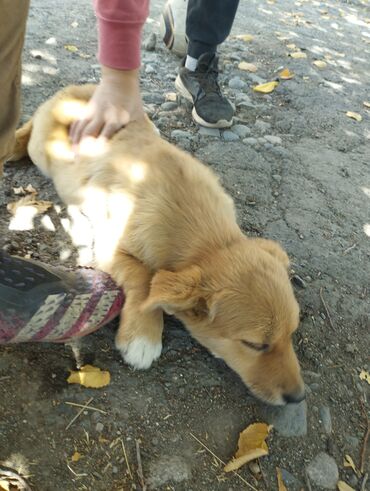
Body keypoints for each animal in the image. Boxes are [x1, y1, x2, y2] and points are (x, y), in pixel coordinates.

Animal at [10, 85, 304, 408]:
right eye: (254, 344)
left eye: (291, 333)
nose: (298, 397)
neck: (207, 234)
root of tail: (71, 91)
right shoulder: (107, 245)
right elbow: (143, 277)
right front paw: (143, 336)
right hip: (42, 150)